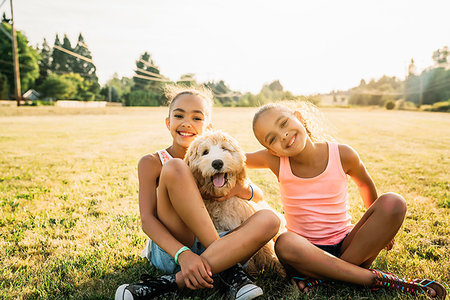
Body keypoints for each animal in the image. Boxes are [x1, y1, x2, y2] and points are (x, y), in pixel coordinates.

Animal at [185, 130, 284, 276]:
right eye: (205, 152)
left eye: (224, 148)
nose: (217, 163)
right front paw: (251, 270)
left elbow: (267, 249)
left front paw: (278, 268)